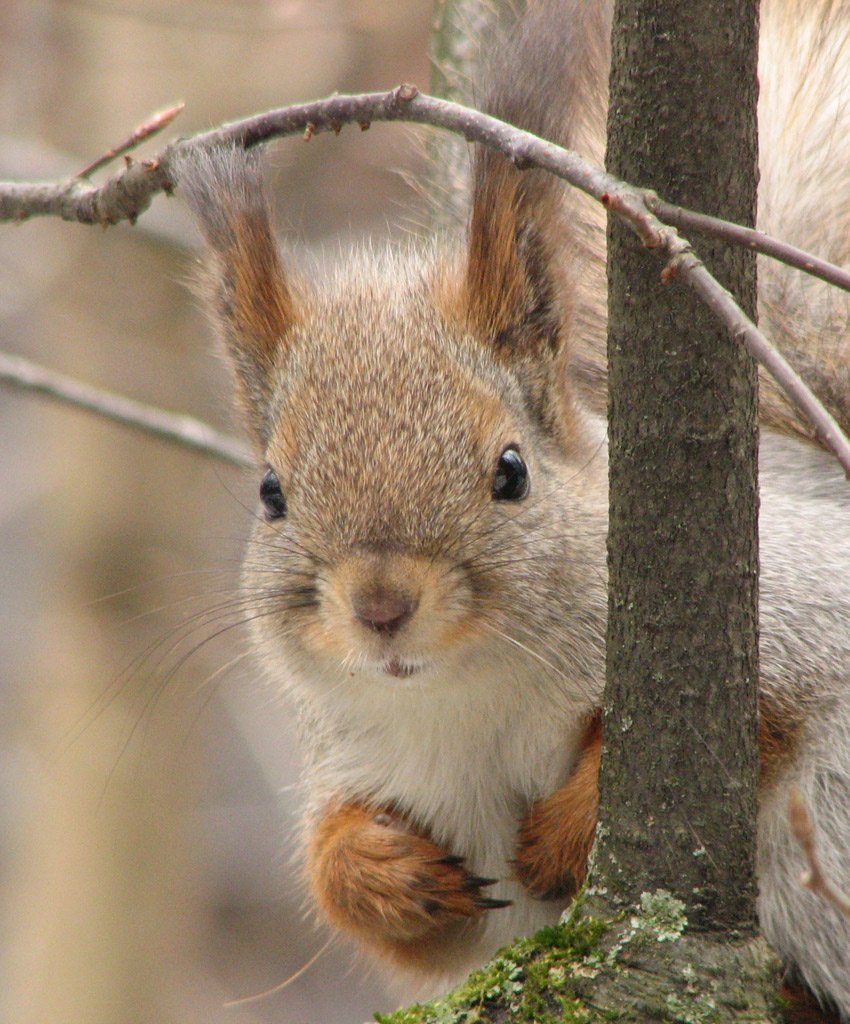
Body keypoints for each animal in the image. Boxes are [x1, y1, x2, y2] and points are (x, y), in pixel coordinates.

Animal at [176, 0, 850, 1015]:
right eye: (271, 493)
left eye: (511, 471)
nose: (381, 607)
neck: (472, 696)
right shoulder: (373, 768)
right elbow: (386, 911)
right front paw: (379, 868)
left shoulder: (799, 613)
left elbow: (776, 712)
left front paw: (569, 827)